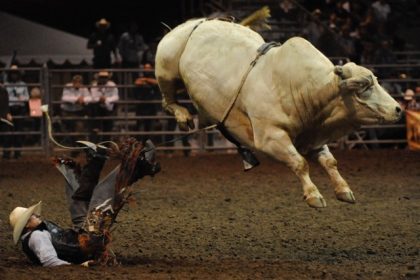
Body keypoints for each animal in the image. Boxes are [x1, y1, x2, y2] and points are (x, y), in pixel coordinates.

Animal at [156, 18, 402, 208]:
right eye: (363, 86)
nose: (398, 109)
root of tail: (192, 24)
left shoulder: (313, 133)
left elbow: (329, 162)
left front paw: (344, 190)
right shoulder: (270, 137)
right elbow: (300, 163)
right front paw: (314, 196)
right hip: (166, 68)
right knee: (167, 99)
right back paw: (183, 117)